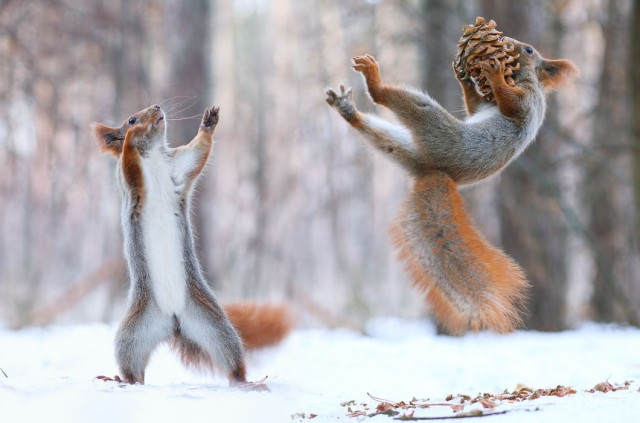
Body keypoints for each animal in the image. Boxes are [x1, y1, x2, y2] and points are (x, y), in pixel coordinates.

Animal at [91, 104, 292, 386]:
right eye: (131, 119)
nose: (157, 108)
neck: (153, 156)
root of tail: (173, 321)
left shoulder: (179, 167)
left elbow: (199, 152)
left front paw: (209, 122)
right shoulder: (130, 181)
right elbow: (129, 163)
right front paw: (132, 137)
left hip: (213, 325)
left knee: (230, 359)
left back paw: (246, 382)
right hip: (132, 334)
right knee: (133, 368)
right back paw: (121, 380)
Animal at [328, 38, 576, 334]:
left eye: (528, 51)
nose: (510, 44)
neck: (522, 78)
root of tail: (435, 172)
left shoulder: (528, 101)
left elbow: (511, 105)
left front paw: (493, 75)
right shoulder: (484, 106)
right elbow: (474, 107)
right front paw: (465, 79)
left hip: (435, 127)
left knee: (393, 100)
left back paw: (374, 81)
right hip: (403, 147)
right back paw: (348, 110)